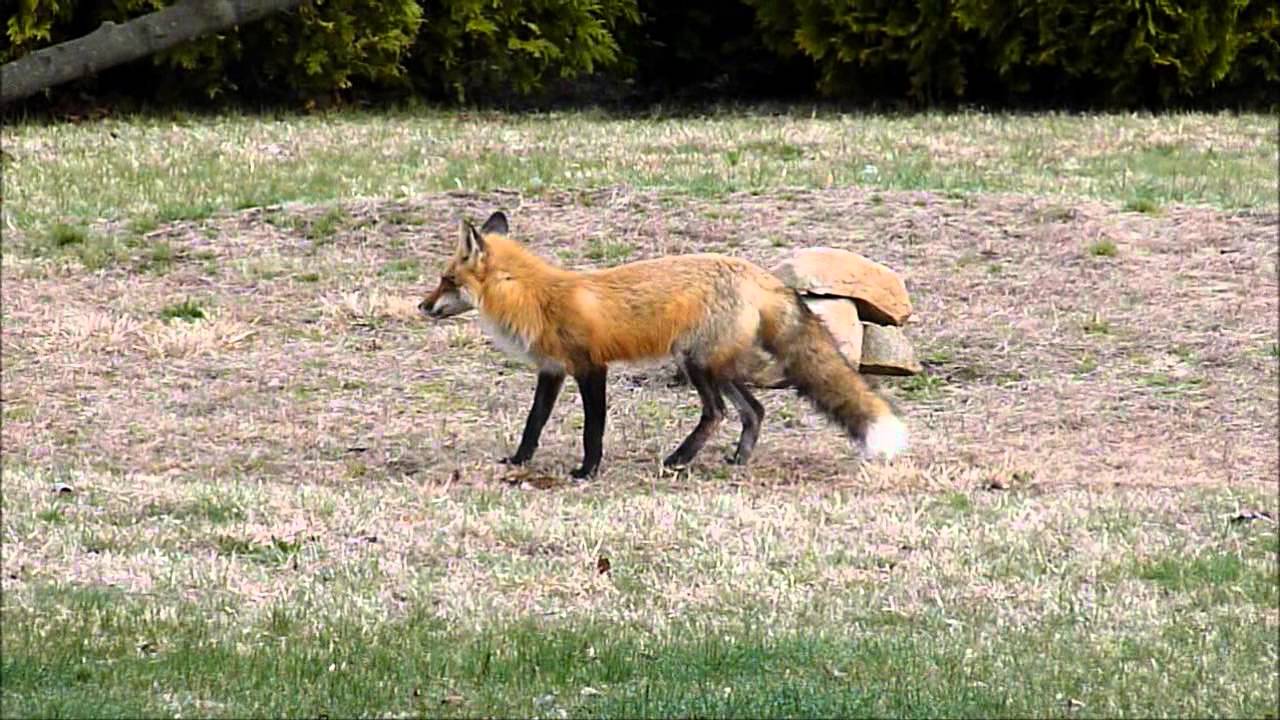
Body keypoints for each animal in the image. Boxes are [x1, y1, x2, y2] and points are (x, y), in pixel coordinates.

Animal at [419, 210, 908, 479]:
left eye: (446, 279)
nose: (421, 305)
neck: (541, 299)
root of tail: (759, 274)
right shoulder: (552, 370)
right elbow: (533, 422)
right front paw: (519, 461)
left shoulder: (591, 367)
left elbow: (593, 428)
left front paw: (587, 471)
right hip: (714, 365)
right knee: (754, 410)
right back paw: (737, 459)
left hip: (695, 364)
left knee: (718, 413)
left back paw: (679, 459)